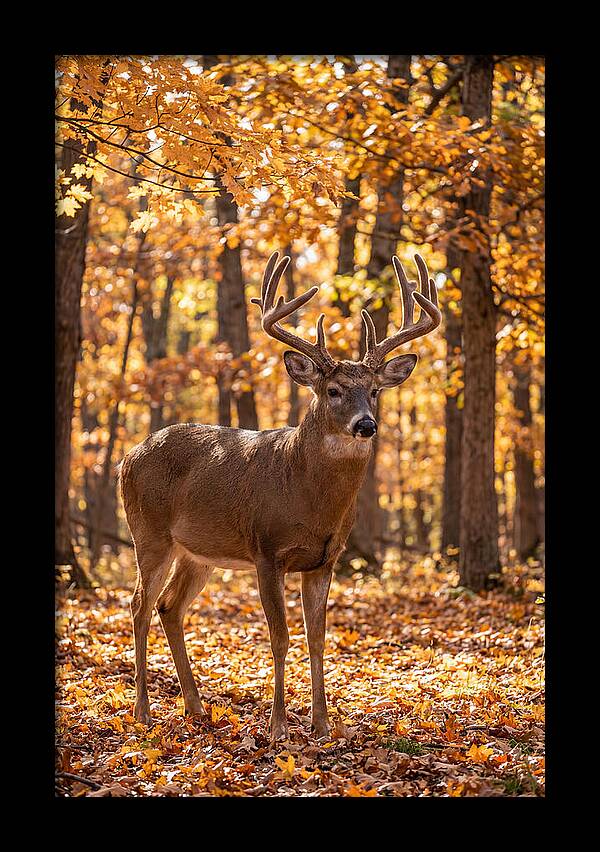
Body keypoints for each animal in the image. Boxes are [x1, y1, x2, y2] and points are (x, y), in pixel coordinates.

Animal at [119, 251, 441, 741]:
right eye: (333, 390)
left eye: (374, 391)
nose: (366, 425)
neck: (306, 496)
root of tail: (127, 457)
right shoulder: (267, 550)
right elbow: (280, 636)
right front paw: (278, 727)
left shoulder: (325, 560)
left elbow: (317, 638)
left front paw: (323, 725)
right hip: (149, 533)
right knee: (139, 605)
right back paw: (143, 712)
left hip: (198, 552)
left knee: (169, 606)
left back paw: (196, 707)